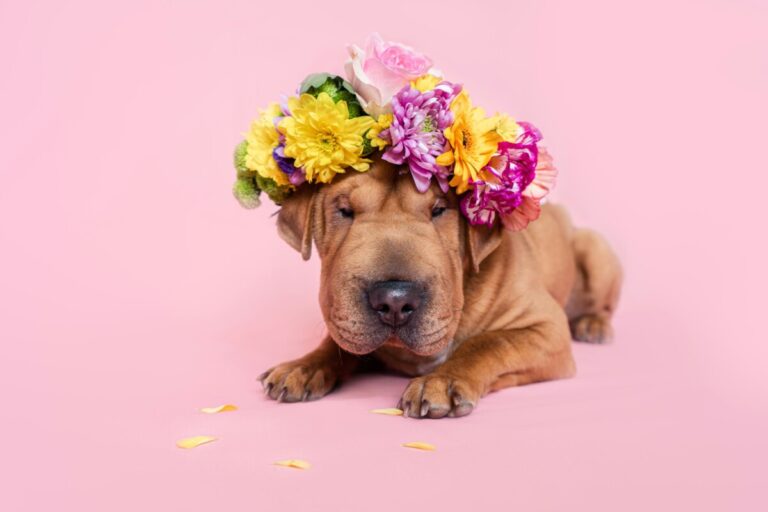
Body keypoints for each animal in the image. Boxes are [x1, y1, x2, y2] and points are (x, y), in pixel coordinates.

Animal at [260, 158, 620, 418]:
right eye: (344, 210)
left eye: (439, 210)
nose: (394, 300)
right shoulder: (347, 323)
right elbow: (338, 344)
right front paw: (303, 367)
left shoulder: (545, 327)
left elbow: (488, 343)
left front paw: (442, 381)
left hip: (596, 249)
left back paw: (593, 324)